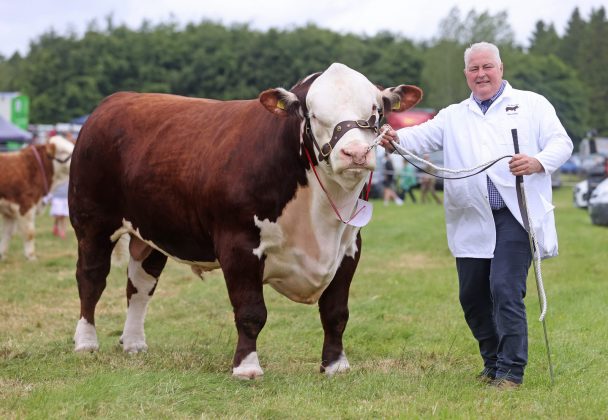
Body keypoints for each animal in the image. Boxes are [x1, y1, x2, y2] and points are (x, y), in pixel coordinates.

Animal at [69, 63, 422, 380]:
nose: (355, 153)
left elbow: (336, 312)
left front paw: (335, 365)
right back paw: (86, 342)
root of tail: (115, 101)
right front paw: (246, 367)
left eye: (375, 112)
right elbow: (251, 312)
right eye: (313, 115)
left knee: (140, 284)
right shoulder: (238, 244)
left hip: (151, 233)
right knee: (91, 278)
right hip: (92, 223)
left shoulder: (349, 247)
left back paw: (133, 343)